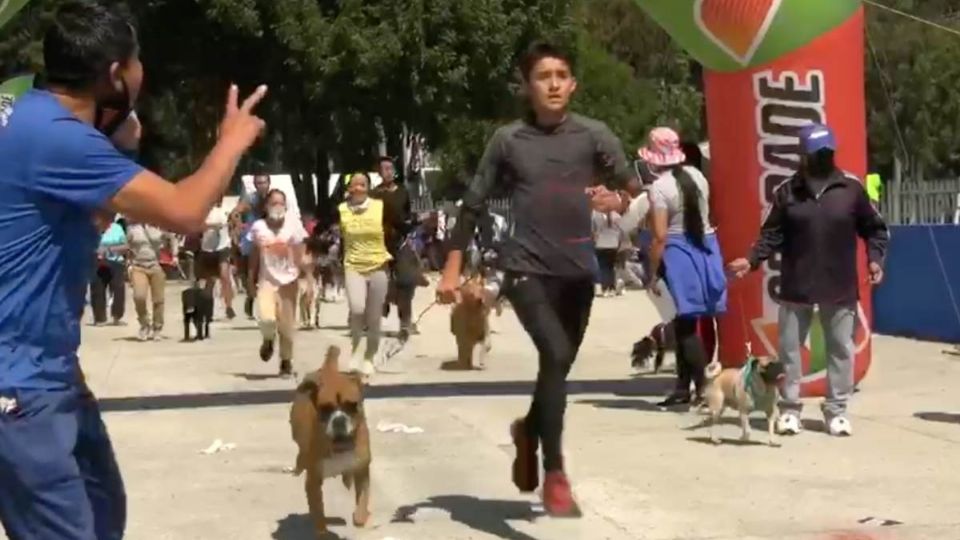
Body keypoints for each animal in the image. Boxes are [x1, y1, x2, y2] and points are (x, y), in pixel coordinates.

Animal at [288, 346, 372, 536]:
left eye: (352, 405)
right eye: (325, 408)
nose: (339, 420)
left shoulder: (362, 471)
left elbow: (362, 499)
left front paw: (360, 516)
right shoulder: (313, 482)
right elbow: (318, 510)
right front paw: (322, 530)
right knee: (300, 453)